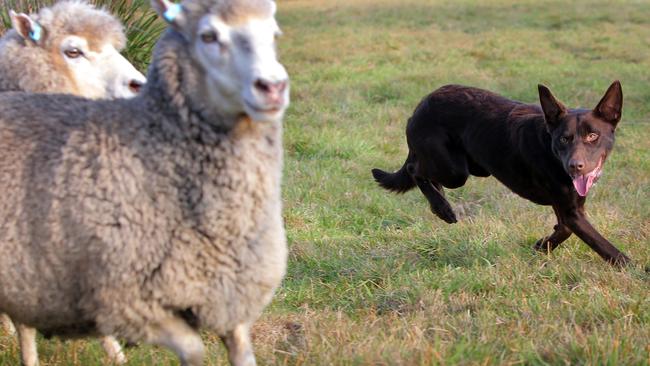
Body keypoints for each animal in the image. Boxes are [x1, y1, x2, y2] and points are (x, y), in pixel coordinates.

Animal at [372, 82, 632, 266]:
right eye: (563, 139)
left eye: (592, 136)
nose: (574, 166)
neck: (549, 147)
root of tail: (421, 105)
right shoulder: (571, 212)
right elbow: (603, 245)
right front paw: (633, 269)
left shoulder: (570, 207)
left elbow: (564, 229)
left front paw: (542, 246)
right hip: (454, 171)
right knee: (415, 170)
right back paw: (442, 208)